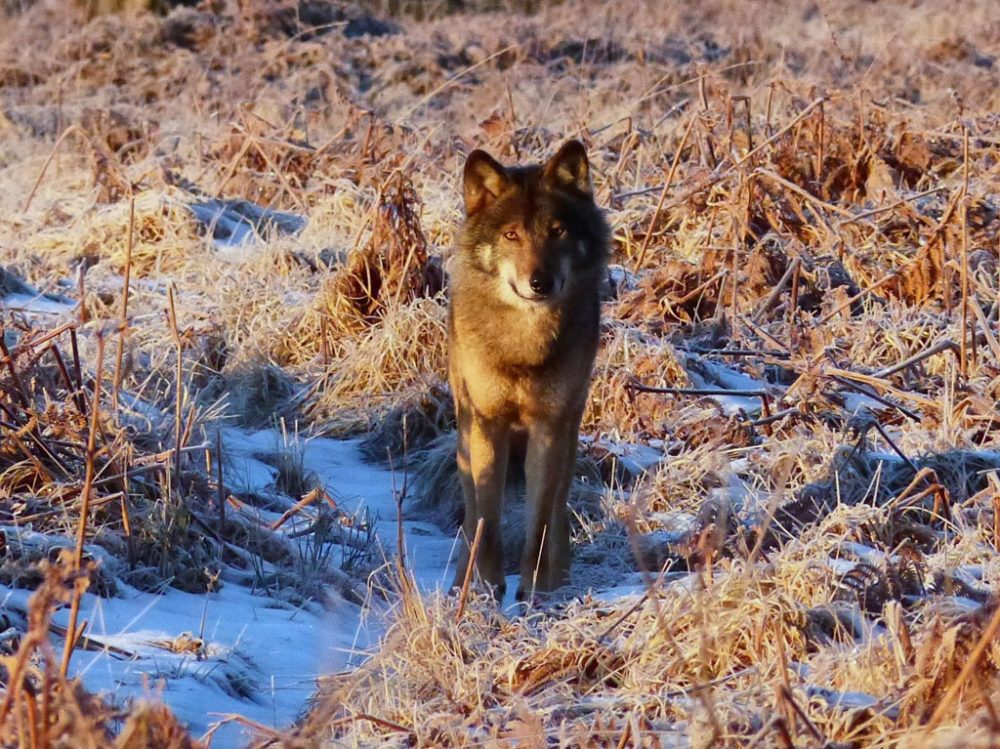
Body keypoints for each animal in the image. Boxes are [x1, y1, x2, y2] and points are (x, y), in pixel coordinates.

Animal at [448, 139, 608, 596]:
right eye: (511, 235)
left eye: (557, 232)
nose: (540, 282)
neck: (525, 345)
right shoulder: (488, 424)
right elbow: (487, 521)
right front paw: (487, 590)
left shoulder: (549, 427)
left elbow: (538, 525)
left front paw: (532, 592)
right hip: (465, 430)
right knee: (471, 508)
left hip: (569, 432)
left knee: (557, 508)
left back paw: (558, 581)